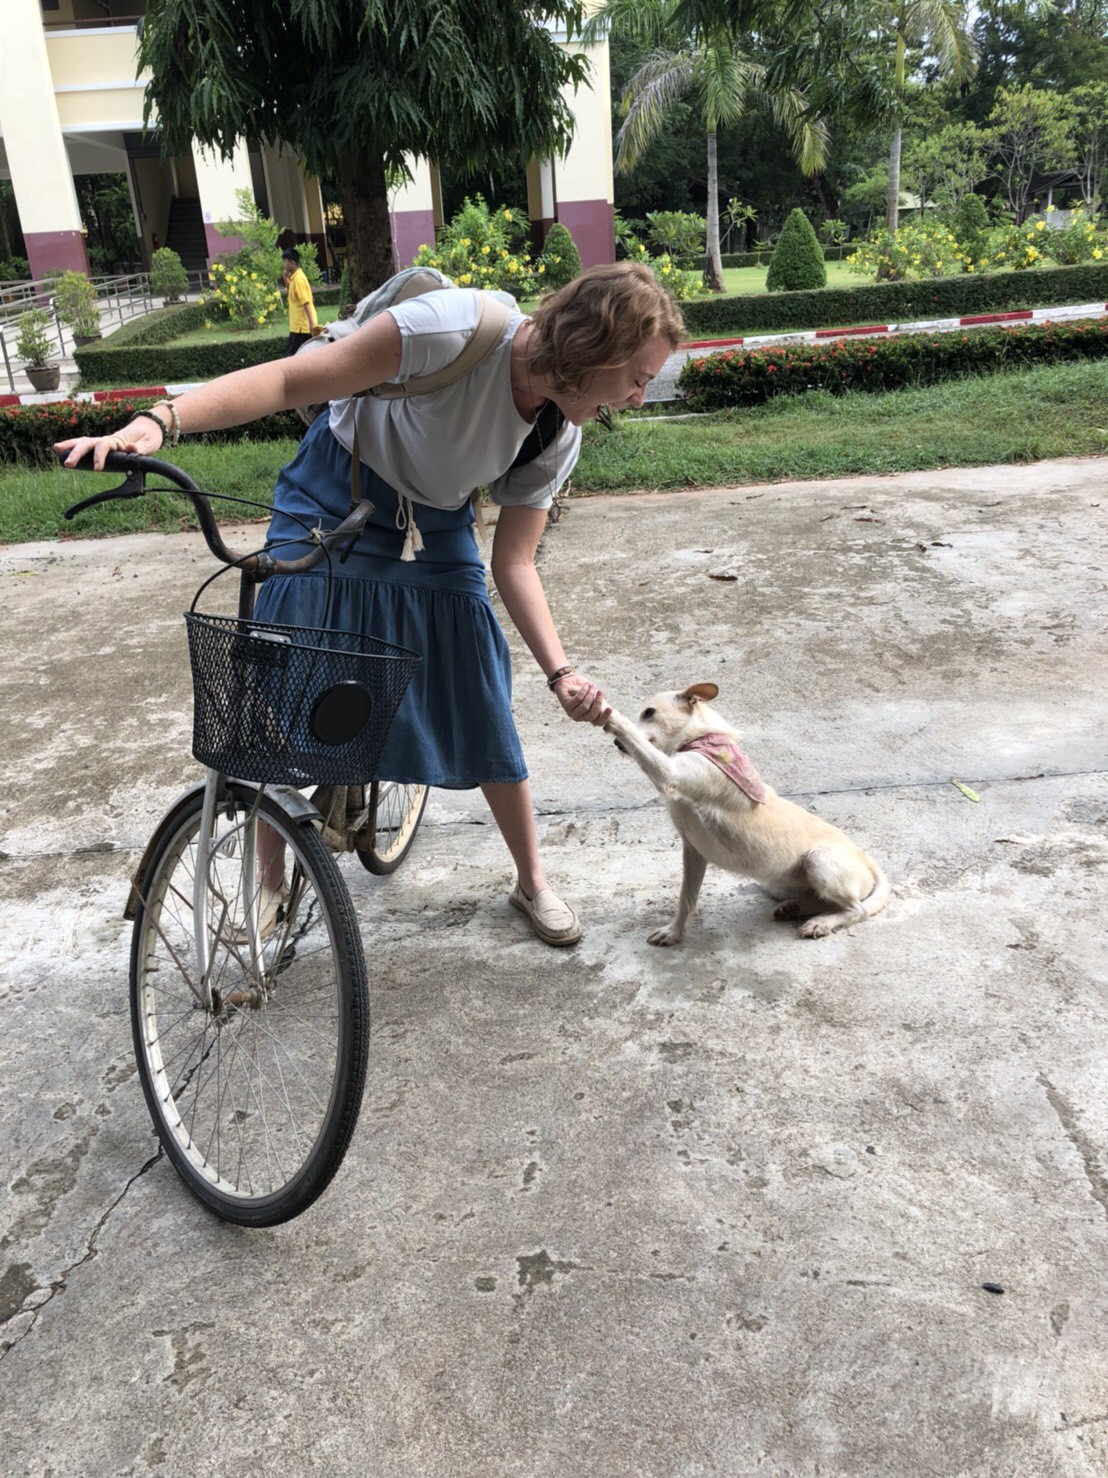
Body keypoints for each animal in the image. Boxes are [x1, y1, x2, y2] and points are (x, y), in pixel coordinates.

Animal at [604, 683, 889, 944]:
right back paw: (793, 908)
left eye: (649, 712)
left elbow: (634, 736)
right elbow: (686, 899)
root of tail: (864, 856)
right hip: (775, 882)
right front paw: (674, 933)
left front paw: (608, 714)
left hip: (818, 861)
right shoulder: (693, 851)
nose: (616, 744)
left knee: (856, 909)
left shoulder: (670, 773)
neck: (700, 739)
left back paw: (820, 923)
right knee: (826, 901)